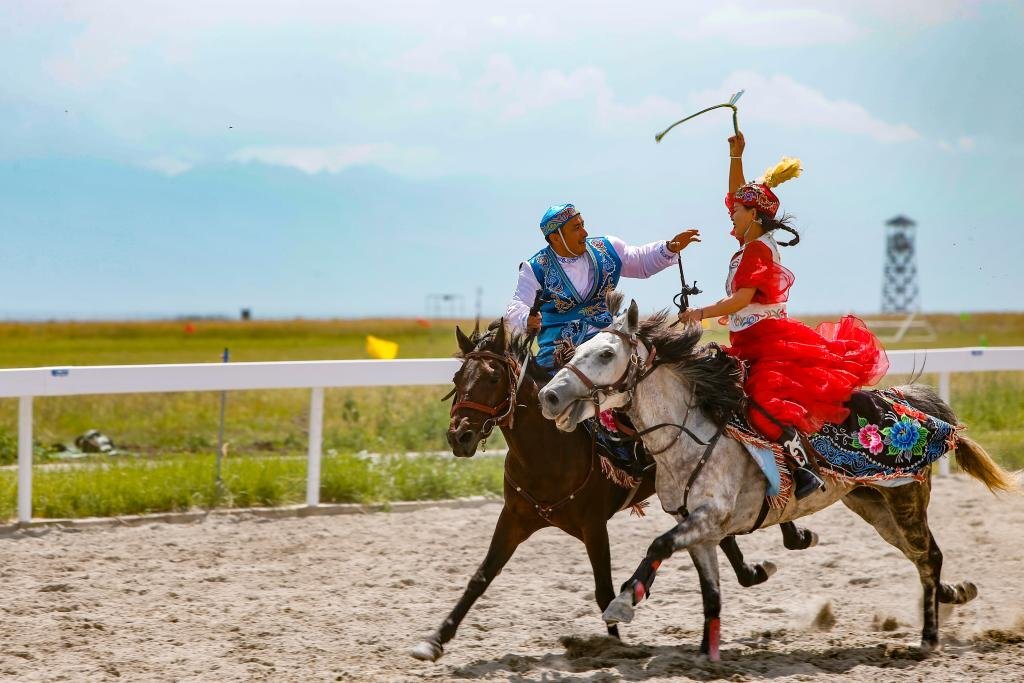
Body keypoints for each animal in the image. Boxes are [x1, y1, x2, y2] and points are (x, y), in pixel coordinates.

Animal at [407, 321, 815, 663]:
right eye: (457, 376)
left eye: (492, 378)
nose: (459, 436)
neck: (549, 453)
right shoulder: (514, 519)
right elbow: (480, 577)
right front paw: (435, 639)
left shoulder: (593, 526)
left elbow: (603, 589)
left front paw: (615, 643)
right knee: (720, 534)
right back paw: (754, 569)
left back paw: (792, 530)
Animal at [540, 301, 1011, 659]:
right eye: (575, 350)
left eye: (605, 354)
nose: (549, 395)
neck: (691, 435)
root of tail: (915, 406)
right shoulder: (701, 531)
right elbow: (711, 593)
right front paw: (706, 655)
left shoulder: (708, 517)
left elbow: (657, 546)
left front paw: (623, 603)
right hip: (872, 506)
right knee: (921, 558)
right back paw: (955, 594)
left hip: (906, 500)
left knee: (929, 557)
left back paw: (928, 639)